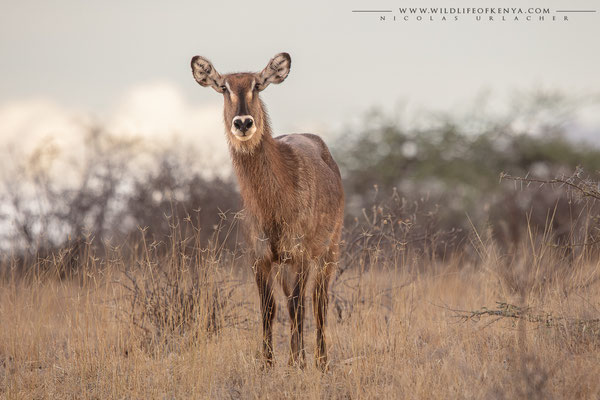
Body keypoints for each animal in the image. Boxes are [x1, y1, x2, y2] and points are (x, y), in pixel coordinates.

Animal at [190, 54, 344, 372]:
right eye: (224, 87)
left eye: (257, 85)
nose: (243, 122)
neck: (273, 205)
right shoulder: (259, 257)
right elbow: (268, 309)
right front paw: (267, 363)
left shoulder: (300, 254)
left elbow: (298, 307)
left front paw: (297, 362)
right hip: (286, 264)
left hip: (328, 251)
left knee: (318, 302)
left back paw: (321, 361)